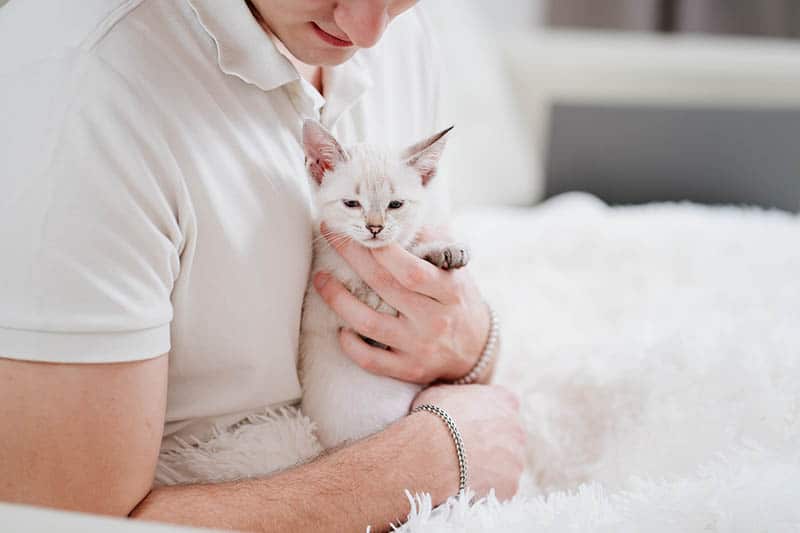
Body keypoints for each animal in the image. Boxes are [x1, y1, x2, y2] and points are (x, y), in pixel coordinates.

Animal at [298, 118, 468, 446]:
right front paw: (431, 250)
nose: (374, 227)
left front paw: (444, 249)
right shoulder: (336, 304)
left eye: (395, 204)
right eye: (352, 203)